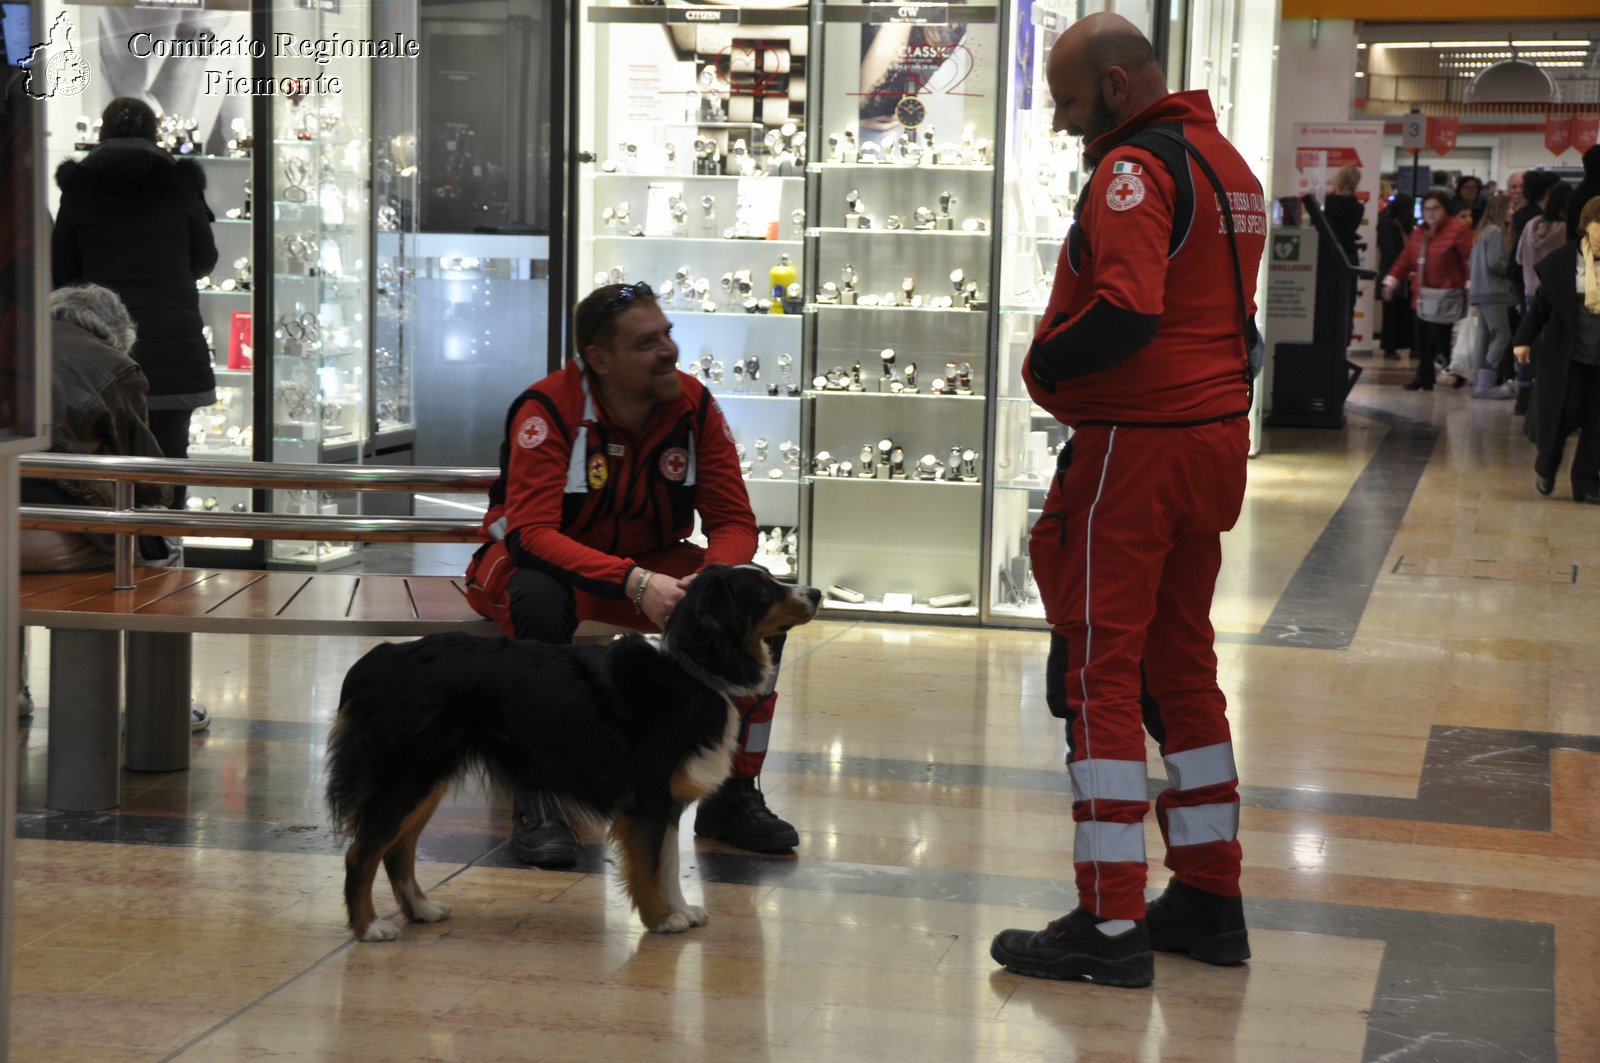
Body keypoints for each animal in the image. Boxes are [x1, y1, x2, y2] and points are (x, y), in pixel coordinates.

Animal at [328, 563, 825, 941]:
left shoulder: (667, 799)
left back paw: (421, 909)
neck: (694, 670)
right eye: (762, 589)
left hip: (425, 779)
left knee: (397, 849)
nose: (817, 591)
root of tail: (378, 659)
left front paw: (681, 909)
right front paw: (660, 919)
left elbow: (668, 862)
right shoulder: (647, 797)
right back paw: (368, 927)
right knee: (361, 852)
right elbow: (648, 864)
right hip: (406, 775)